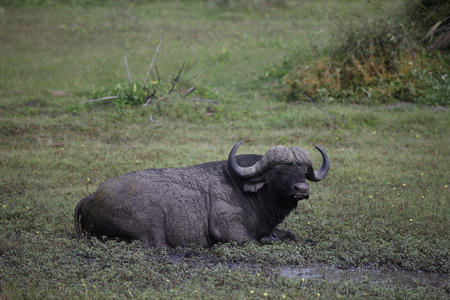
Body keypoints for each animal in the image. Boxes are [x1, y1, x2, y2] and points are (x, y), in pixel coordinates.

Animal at [73, 141, 326, 248]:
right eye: (280, 171)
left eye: (302, 171)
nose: (302, 190)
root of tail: (91, 197)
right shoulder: (233, 233)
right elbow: (259, 240)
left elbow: (290, 235)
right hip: (152, 227)